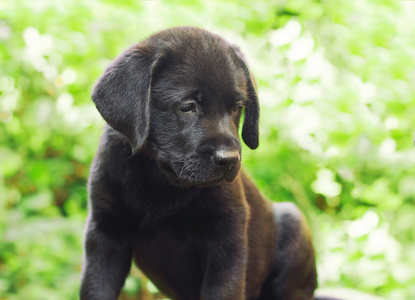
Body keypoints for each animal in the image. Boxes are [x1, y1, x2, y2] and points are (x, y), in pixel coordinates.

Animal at [82, 26, 322, 300]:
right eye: (187, 106)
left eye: (237, 107)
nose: (229, 160)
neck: (159, 179)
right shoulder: (105, 234)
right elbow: (96, 289)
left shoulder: (227, 235)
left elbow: (223, 291)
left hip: (295, 227)